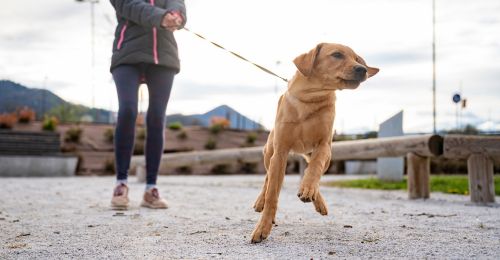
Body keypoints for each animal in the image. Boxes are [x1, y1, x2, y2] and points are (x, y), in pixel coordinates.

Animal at [250, 41, 378, 243]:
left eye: (356, 58)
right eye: (337, 55)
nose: (362, 69)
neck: (310, 98)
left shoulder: (324, 146)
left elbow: (314, 169)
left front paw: (308, 188)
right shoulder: (280, 152)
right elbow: (272, 194)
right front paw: (263, 227)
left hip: (323, 156)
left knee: (314, 170)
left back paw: (314, 197)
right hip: (269, 153)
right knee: (267, 178)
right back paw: (261, 201)